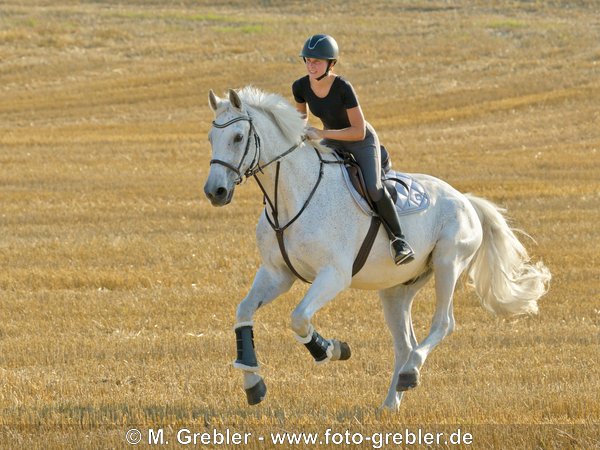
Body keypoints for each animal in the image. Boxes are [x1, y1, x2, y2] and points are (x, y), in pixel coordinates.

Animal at [204, 86, 552, 410]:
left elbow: (299, 318)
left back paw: (410, 373)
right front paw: (253, 382)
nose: (215, 192)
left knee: (443, 324)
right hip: (396, 290)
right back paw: (391, 400)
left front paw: (331, 349)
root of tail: (466, 200)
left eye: (238, 137)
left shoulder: (334, 275)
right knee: (404, 344)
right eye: (210, 138)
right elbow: (244, 312)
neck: (291, 196)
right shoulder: (277, 274)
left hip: (447, 263)